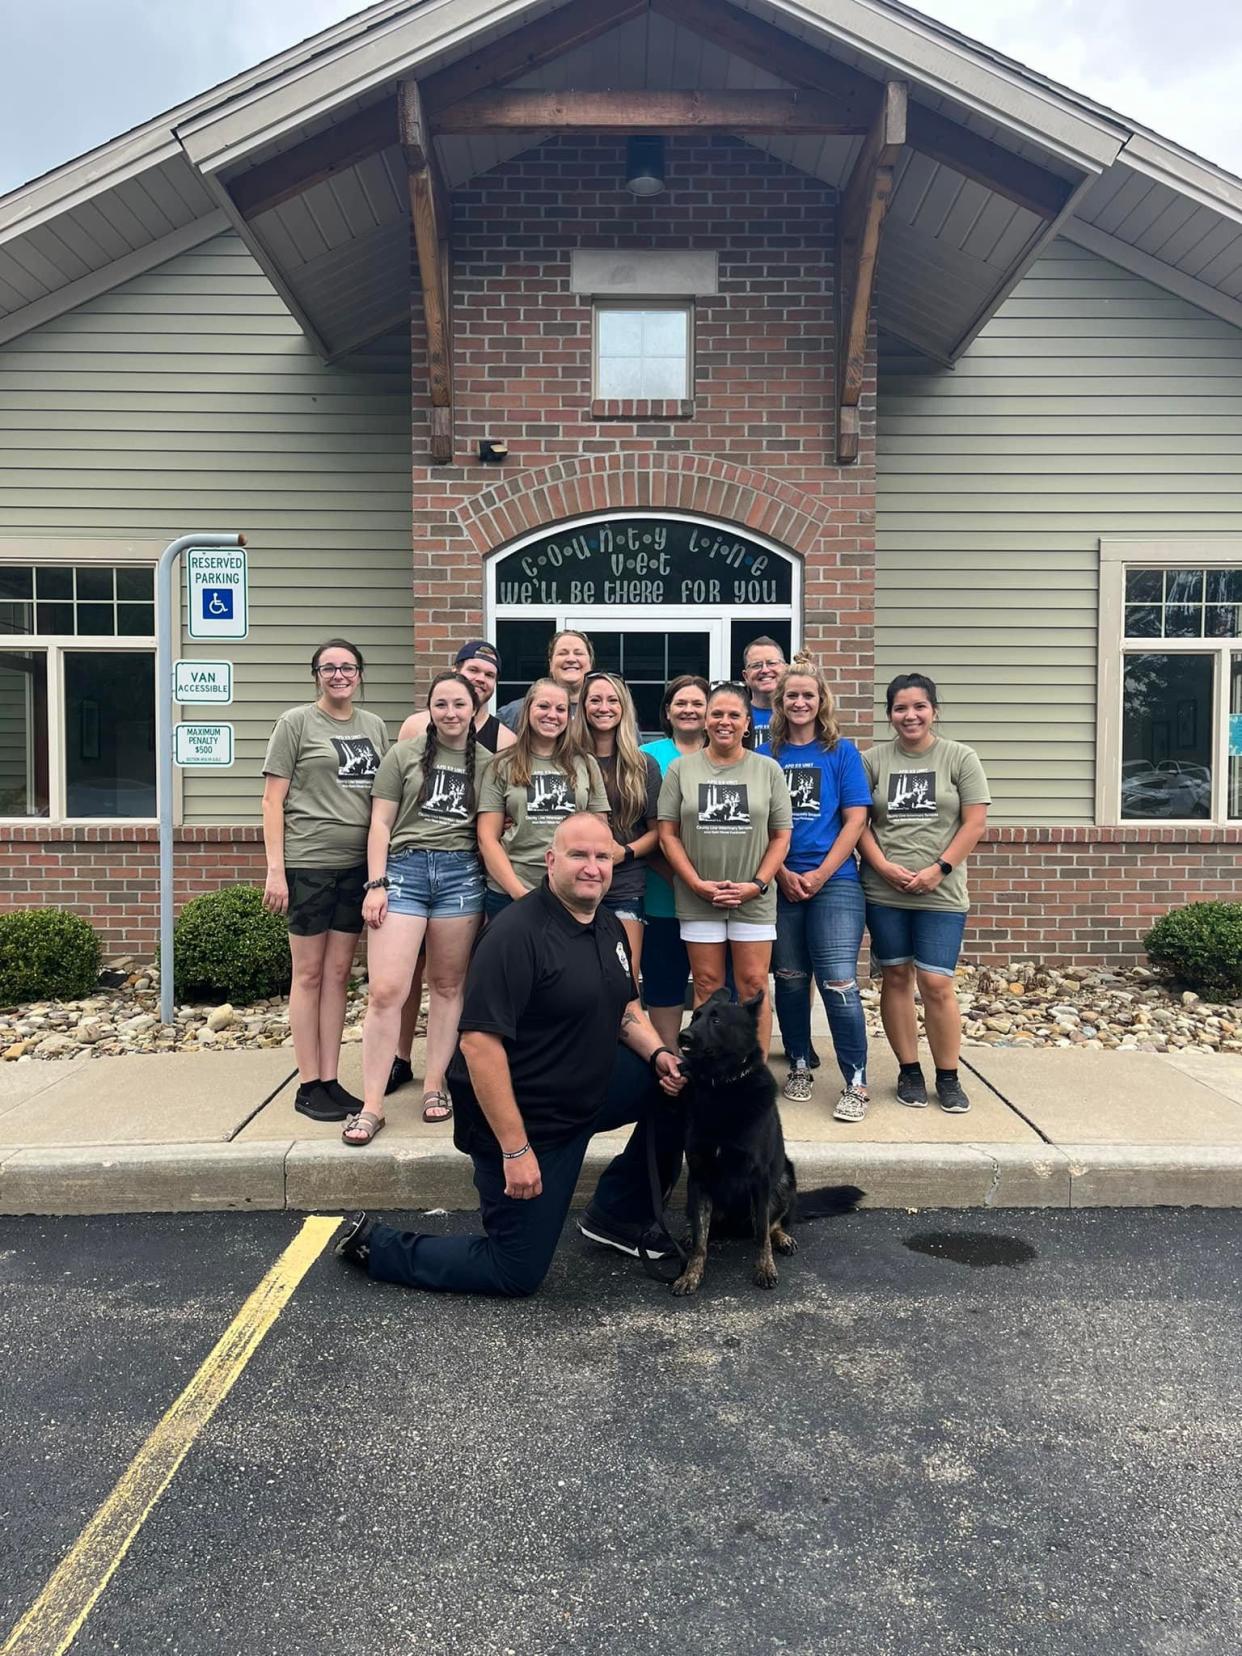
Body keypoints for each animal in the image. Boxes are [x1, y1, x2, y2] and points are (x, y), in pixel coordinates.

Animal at [672, 980, 867, 1291]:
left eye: (716, 1020)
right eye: (695, 1016)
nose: (683, 1036)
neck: (722, 1085)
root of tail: (735, 1226)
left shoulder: (760, 1178)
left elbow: (762, 1233)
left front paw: (765, 1267)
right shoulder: (699, 1177)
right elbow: (702, 1240)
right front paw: (691, 1273)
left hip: (784, 1179)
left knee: (773, 1223)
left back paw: (782, 1237)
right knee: (706, 1226)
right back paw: (692, 1233)